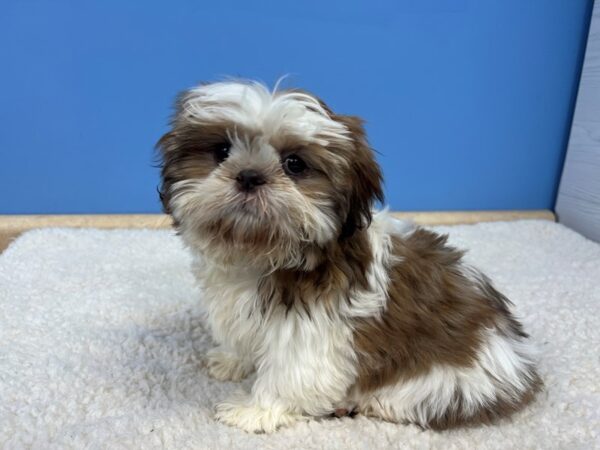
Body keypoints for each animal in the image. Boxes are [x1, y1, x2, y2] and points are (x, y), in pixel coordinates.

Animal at [157, 80, 540, 432]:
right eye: (221, 150)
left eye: (294, 164)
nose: (249, 176)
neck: (262, 254)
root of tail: (519, 367)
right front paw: (232, 360)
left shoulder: (309, 331)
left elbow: (290, 375)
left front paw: (254, 410)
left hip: (439, 383)